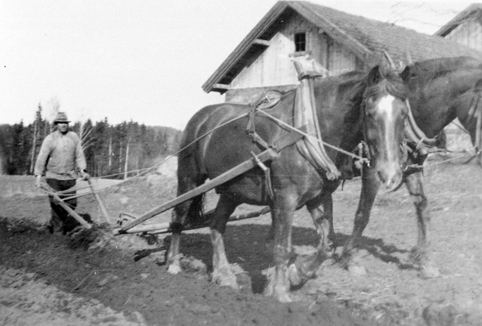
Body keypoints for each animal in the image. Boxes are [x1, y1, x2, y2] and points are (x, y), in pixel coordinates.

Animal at [168, 54, 408, 302]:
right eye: (370, 112)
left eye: (404, 113)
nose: (390, 174)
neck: (308, 130)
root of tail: (202, 117)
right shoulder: (286, 199)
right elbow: (282, 247)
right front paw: (281, 291)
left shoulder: (319, 197)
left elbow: (327, 244)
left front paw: (297, 274)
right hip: (189, 179)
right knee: (178, 217)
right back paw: (174, 264)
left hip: (232, 191)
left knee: (216, 225)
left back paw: (223, 274)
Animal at [338, 55, 482, 278]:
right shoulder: (373, 171)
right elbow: (363, 214)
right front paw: (351, 258)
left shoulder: (412, 168)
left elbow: (423, 208)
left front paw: (425, 260)